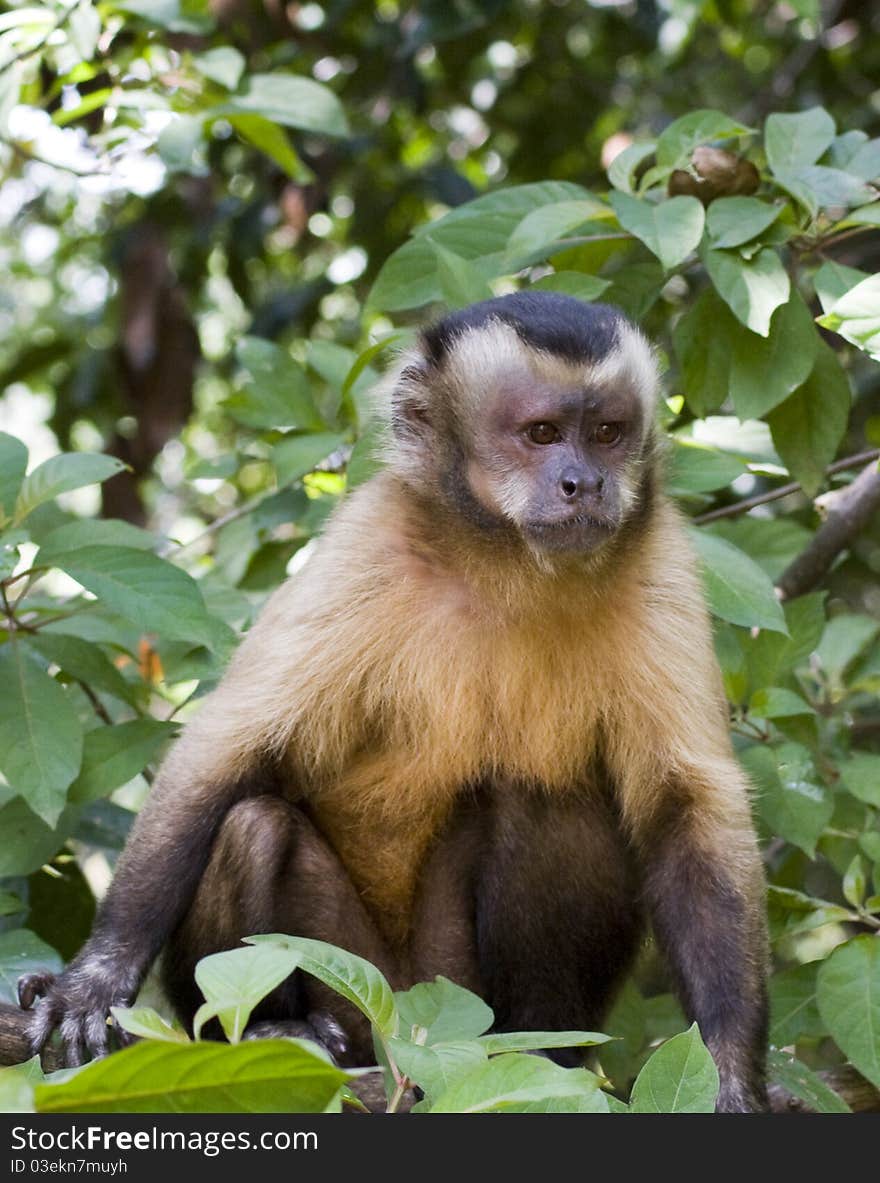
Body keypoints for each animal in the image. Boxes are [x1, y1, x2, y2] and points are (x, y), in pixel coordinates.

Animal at [17, 293, 766, 1107]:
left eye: (607, 434)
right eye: (541, 433)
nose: (585, 484)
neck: (509, 561)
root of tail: (411, 1027)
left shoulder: (660, 556)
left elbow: (685, 806)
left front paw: (731, 1069)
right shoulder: (368, 541)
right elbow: (226, 750)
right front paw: (95, 981)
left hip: (454, 995)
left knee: (555, 808)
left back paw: (541, 1051)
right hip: (351, 983)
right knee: (253, 826)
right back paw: (283, 1029)